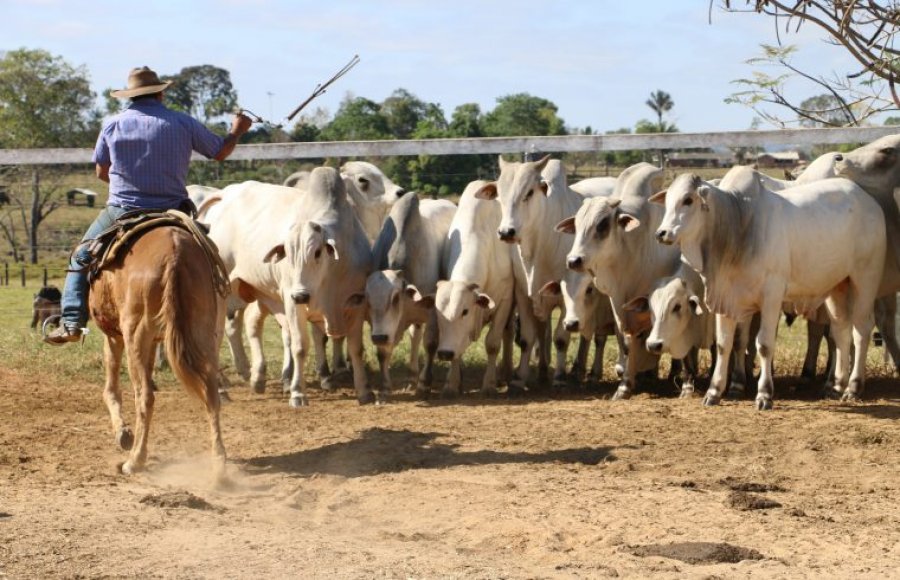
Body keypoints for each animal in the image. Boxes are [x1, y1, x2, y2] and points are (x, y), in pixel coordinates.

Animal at [89, 222, 227, 480]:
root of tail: (175, 254)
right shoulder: (153, 341)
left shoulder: (114, 336)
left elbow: (110, 389)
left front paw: (123, 433)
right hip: (204, 334)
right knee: (211, 394)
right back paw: (219, 464)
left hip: (135, 335)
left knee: (144, 397)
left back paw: (134, 460)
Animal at [652, 168, 884, 408]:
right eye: (667, 201)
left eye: (688, 200)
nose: (661, 233)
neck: (738, 224)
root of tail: (867, 200)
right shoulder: (727, 298)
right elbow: (725, 344)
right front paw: (714, 392)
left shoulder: (772, 297)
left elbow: (763, 344)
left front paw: (764, 394)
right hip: (837, 285)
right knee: (841, 330)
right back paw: (836, 386)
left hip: (865, 279)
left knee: (861, 330)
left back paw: (853, 387)